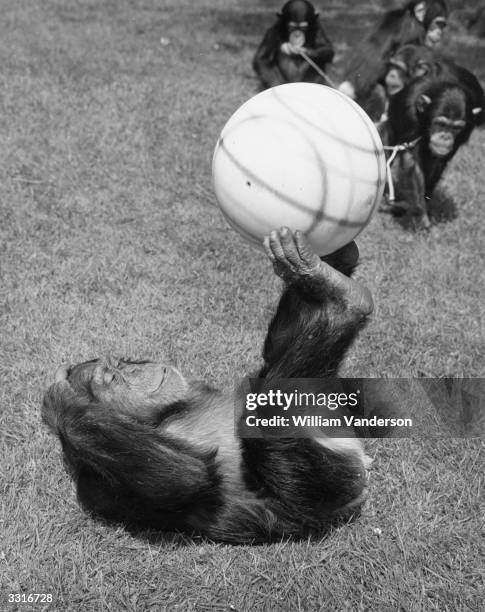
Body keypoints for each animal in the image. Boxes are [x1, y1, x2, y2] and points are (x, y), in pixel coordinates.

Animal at [43, 230, 372, 544]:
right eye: (111, 379)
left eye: (120, 365)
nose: (132, 369)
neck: (167, 413)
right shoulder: (96, 486)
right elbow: (183, 477)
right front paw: (60, 402)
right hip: (326, 482)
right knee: (266, 425)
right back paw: (344, 298)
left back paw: (319, 271)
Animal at [384, 75, 482, 228]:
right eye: (441, 124)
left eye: (456, 128)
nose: (445, 137)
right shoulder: (408, 114)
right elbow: (412, 161)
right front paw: (421, 217)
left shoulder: (467, 128)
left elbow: (438, 162)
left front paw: (424, 206)